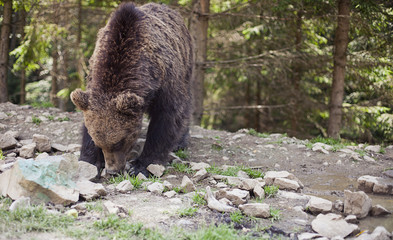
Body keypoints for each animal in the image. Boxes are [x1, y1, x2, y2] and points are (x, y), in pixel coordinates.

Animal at [71, 2, 193, 176]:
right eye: (99, 143)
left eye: (120, 141)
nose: (112, 171)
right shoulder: (93, 80)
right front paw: (89, 159)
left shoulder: (165, 83)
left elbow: (168, 117)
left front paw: (141, 166)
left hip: (186, 63)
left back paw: (180, 141)